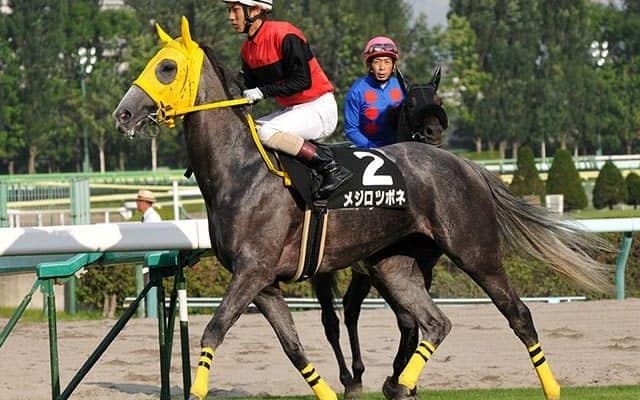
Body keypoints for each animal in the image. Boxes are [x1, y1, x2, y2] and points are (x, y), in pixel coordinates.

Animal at [113, 17, 612, 400]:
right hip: (395, 265)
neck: (240, 170)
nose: (123, 114)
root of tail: (465, 165)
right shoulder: (265, 283)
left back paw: (550, 388)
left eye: (166, 67)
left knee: (517, 314)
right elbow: (295, 347)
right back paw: (400, 384)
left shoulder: (253, 271)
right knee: (432, 322)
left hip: (476, 252)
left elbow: (214, 330)